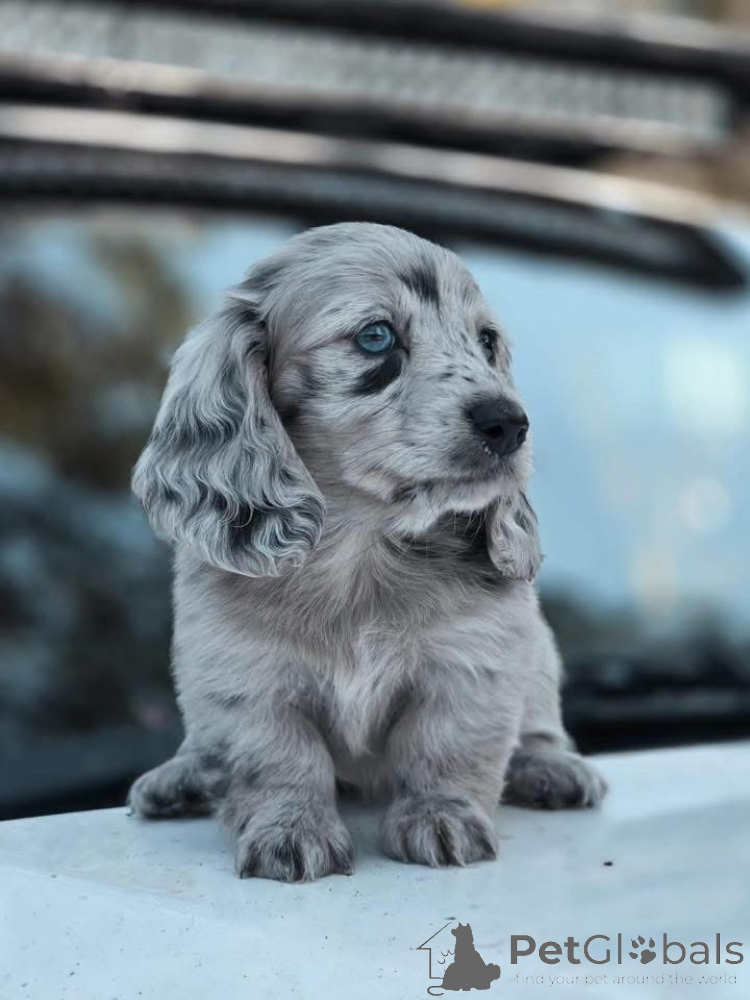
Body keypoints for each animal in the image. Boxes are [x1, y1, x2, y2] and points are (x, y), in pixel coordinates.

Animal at [127, 222, 606, 881]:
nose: (509, 423)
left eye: (486, 342)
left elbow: (446, 745)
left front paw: (440, 816)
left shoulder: (475, 660)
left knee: (537, 725)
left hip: (539, 652)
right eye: (376, 336)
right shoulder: (240, 673)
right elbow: (279, 757)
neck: (361, 544)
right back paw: (182, 777)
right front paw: (290, 829)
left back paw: (551, 768)